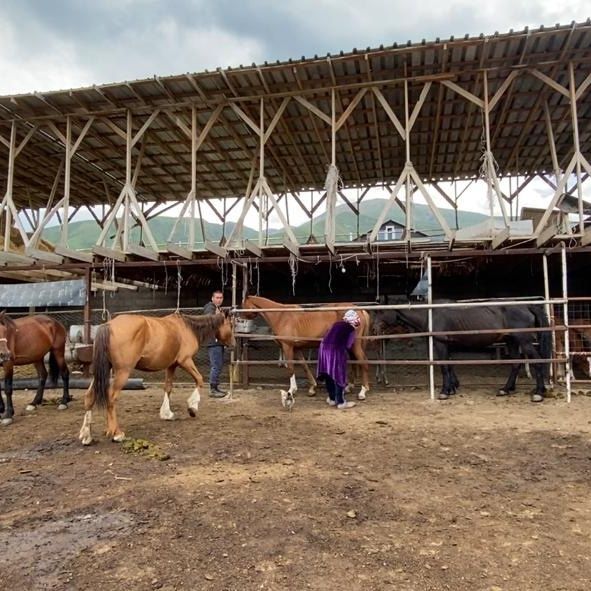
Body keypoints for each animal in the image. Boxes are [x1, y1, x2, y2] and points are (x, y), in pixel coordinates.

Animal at [78, 314, 236, 444]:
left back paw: (86, 435)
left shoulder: (172, 365)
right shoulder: (185, 361)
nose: (233, 344)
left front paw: (167, 413)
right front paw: (192, 408)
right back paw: (117, 434)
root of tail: (108, 325)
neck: (187, 328)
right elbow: (199, 379)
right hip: (123, 372)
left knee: (89, 396)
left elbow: (168, 387)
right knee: (111, 397)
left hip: (102, 372)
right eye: (231, 325)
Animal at [240, 296, 370, 408]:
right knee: (354, 363)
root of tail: (360, 310)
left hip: (355, 345)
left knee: (363, 362)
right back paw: (349, 387)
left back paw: (363, 392)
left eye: (243, 304)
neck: (280, 316)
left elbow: (291, 368)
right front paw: (312, 388)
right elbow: (304, 366)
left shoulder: (287, 347)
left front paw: (291, 390)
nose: (240, 318)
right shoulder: (296, 348)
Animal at [372, 306, 552, 402]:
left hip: (524, 342)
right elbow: (450, 366)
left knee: (538, 361)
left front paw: (444, 392)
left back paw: (538, 393)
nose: (373, 329)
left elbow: (444, 367)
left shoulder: (441, 344)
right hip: (512, 342)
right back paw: (506, 389)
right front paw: (452, 387)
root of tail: (527, 307)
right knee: (515, 364)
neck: (430, 314)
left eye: (382, 312)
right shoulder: (448, 346)